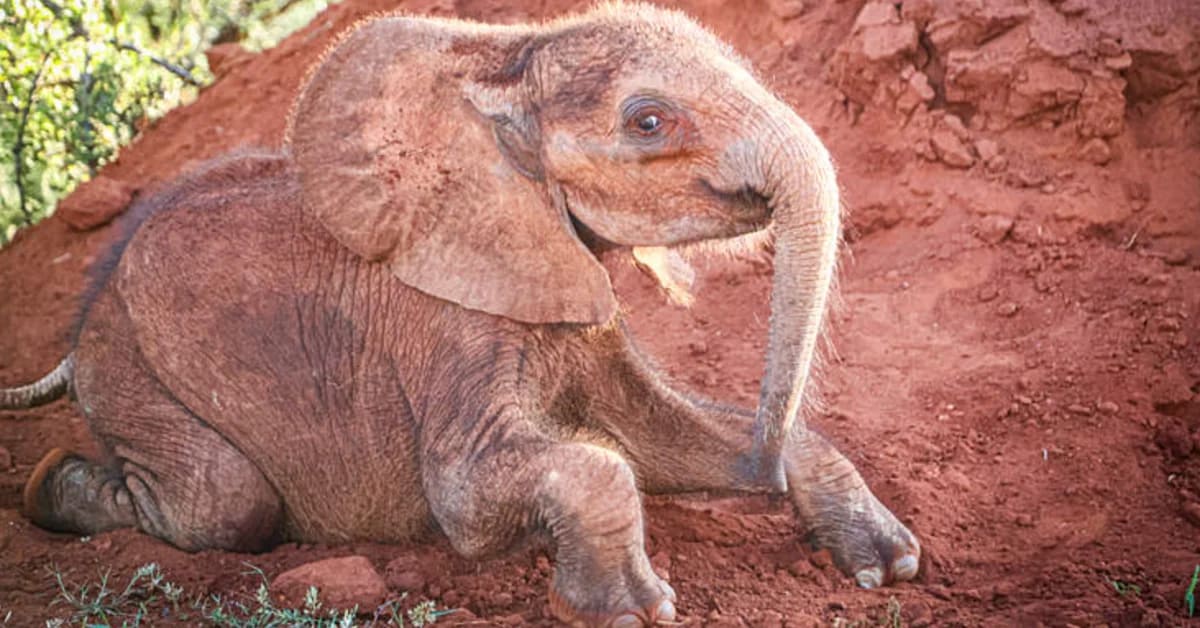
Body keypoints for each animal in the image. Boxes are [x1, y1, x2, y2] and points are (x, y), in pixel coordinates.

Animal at [0, 4, 920, 626]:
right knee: (222, 504)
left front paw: (890, 566)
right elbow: (486, 490)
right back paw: (51, 488)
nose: (762, 469)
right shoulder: (444, 324)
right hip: (132, 370)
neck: (502, 62)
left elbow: (655, 435)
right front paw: (630, 609)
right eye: (648, 121)